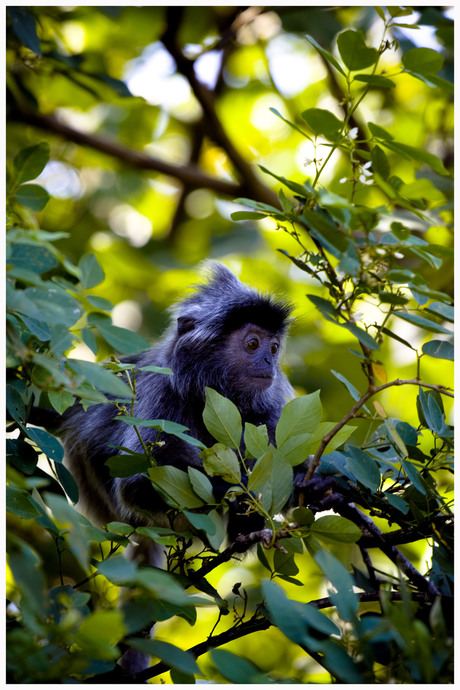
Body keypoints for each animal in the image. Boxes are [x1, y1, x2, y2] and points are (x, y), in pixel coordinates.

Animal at [61, 260, 292, 560]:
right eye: (253, 343)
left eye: (274, 347)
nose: (269, 361)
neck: (211, 398)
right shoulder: (160, 394)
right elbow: (136, 482)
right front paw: (236, 488)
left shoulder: (269, 413)